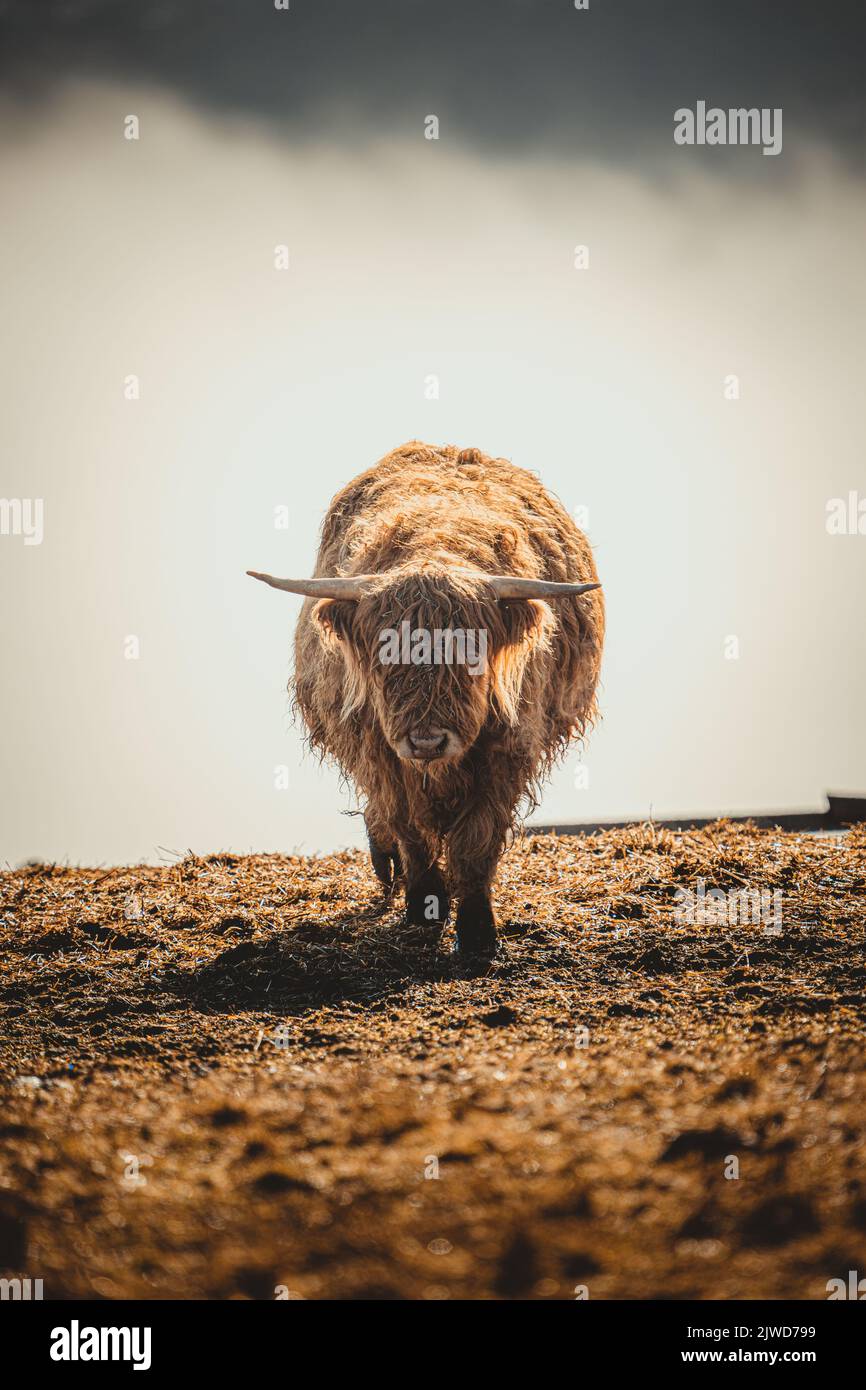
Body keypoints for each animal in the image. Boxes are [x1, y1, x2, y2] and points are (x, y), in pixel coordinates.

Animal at [249, 441, 604, 963]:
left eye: (471, 654)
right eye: (385, 656)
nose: (427, 742)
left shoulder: (506, 752)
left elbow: (475, 842)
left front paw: (477, 932)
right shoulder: (379, 751)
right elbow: (408, 827)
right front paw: (424, 904)